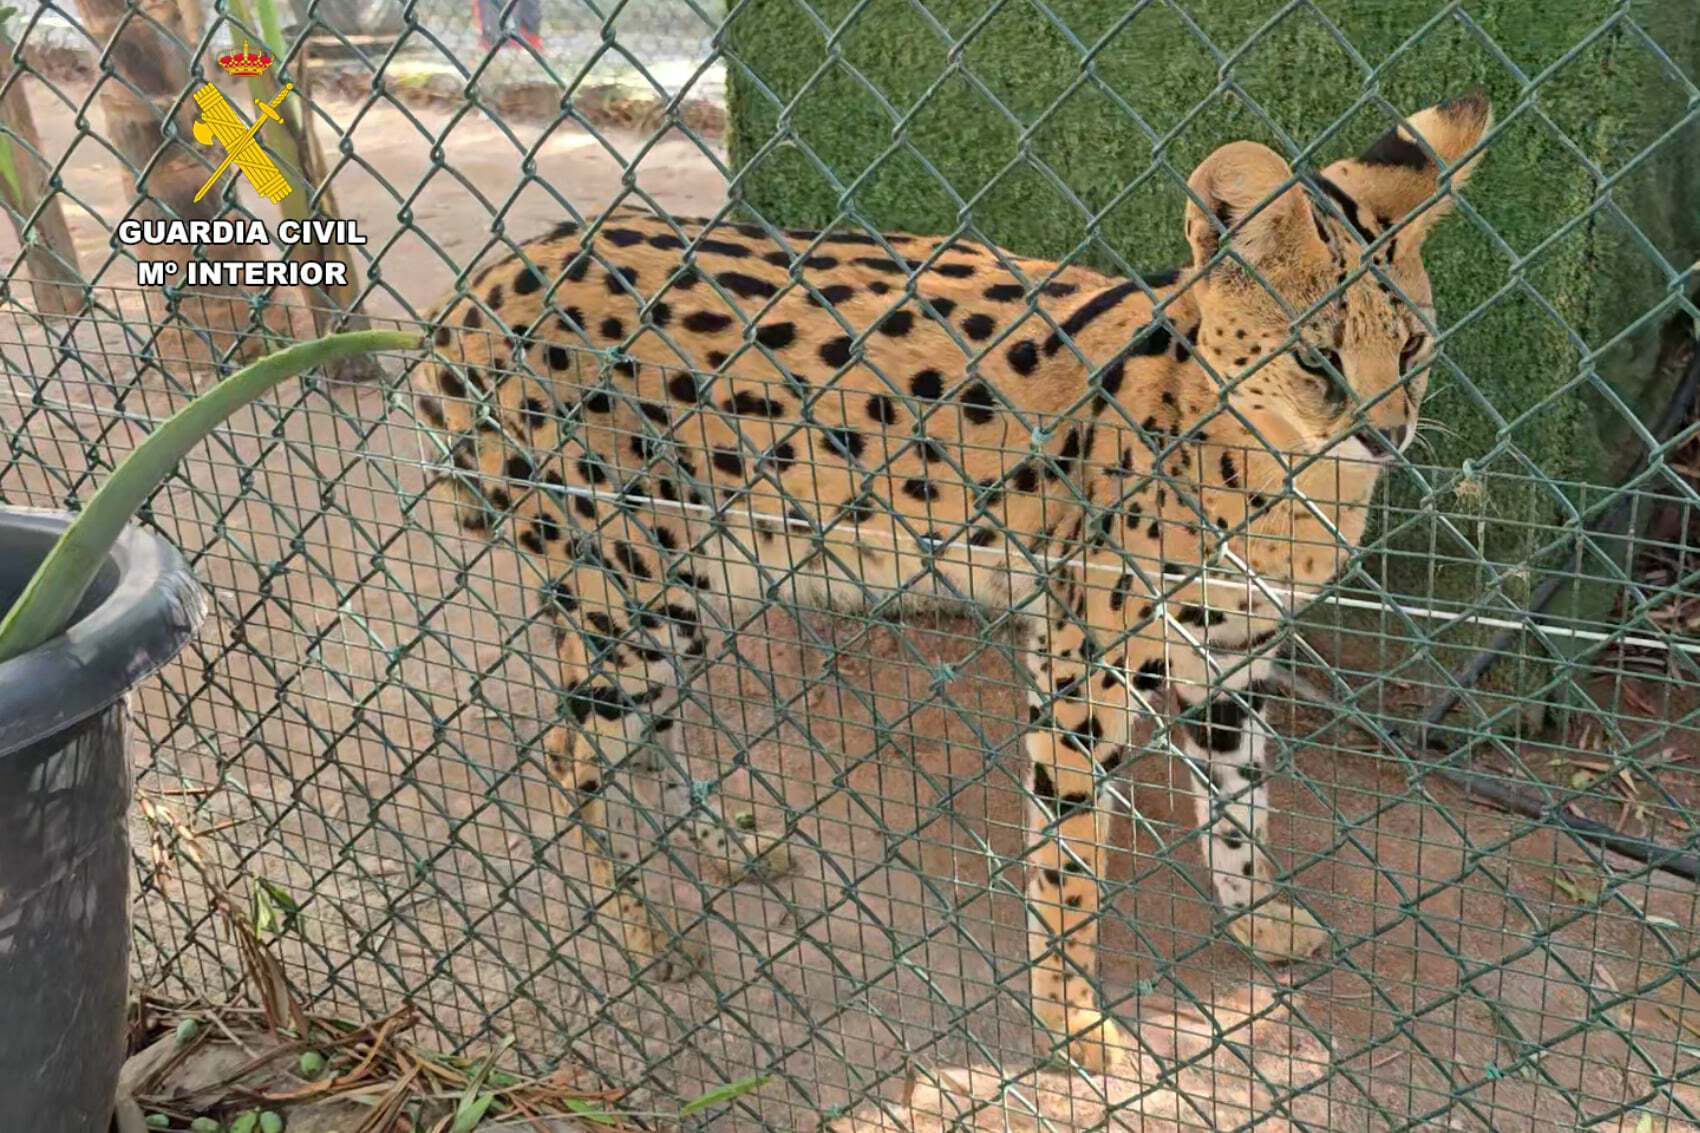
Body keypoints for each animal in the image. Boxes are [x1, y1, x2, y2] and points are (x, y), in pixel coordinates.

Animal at [413, 93, 1491, 1071]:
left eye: (1411, 346)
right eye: (1316, 357)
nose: (1388, 434)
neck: (1289, 475)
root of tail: (468, 292)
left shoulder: (1230, 660)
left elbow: (1240, 808)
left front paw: (1258, 916)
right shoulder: (1080, 661)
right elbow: (1069, 858)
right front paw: (1073, 1024)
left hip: (680, 584)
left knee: (639, 734)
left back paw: (727, 841)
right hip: (630, 580)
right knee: (567, 751)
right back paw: (645, 933)